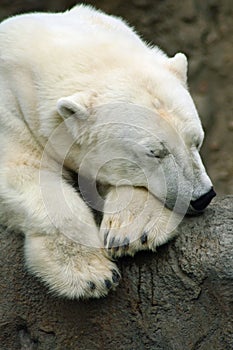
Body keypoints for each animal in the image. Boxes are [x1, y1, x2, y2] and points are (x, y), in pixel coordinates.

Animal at [0, 4, 216, 298]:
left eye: (197, 140)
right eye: (155, 152)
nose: (203, 197)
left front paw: (132, 232)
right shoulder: (9, 110)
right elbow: (24, 172)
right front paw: (91, 274)